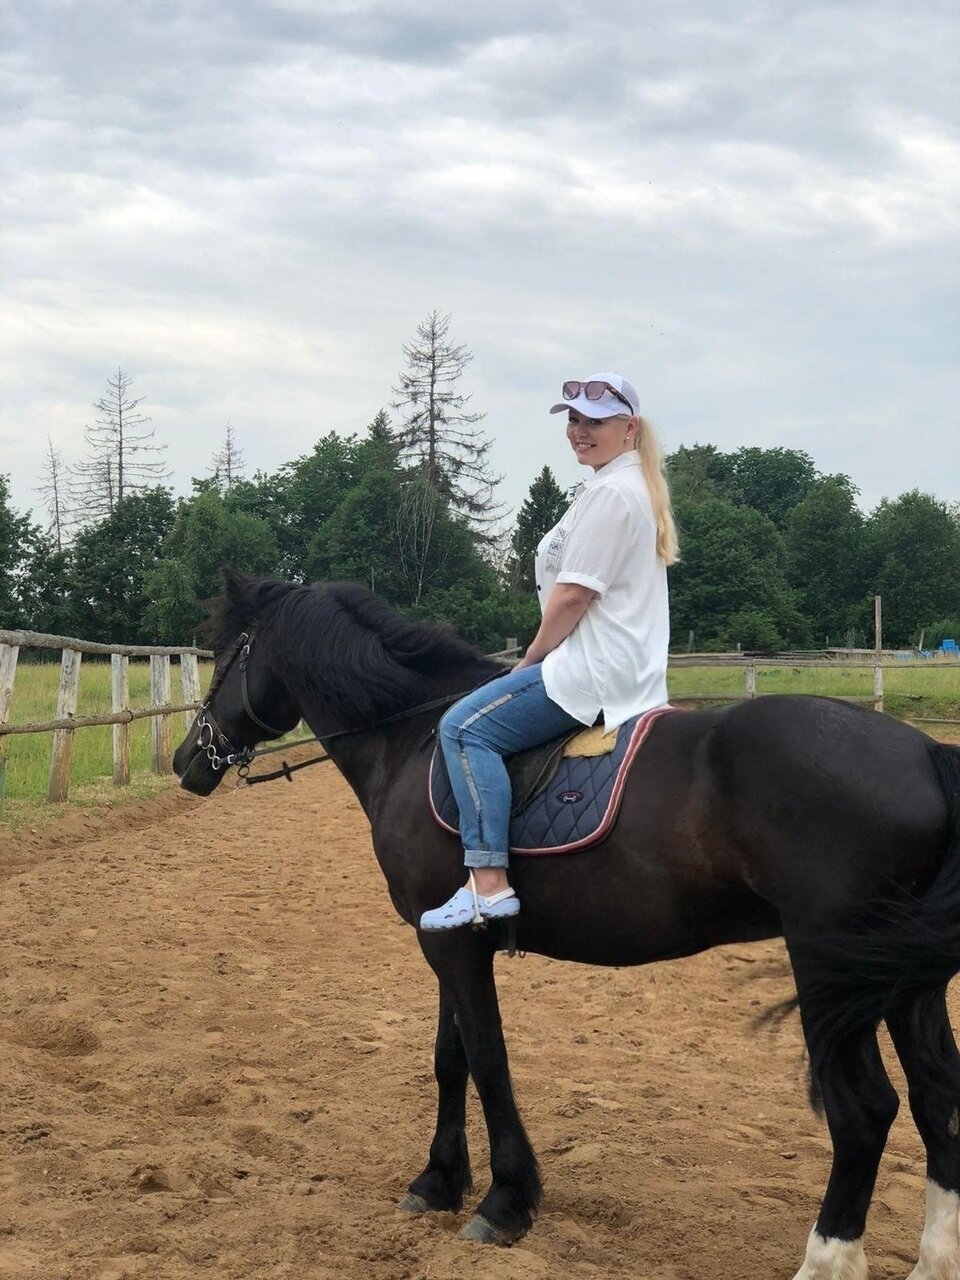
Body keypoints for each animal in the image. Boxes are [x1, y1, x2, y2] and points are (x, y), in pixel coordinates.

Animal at [173, 569, 960, 1280]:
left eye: (225, 655)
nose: (187, 760)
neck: (413, 739)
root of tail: (925, 753)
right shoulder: (447, 937)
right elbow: (450, 1058)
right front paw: (437, 1182)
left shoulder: (448, 944)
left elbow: (488, 1059)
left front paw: (505, 1202)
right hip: (900, 984)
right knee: (936, 1098)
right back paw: (933, 1262)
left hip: (830, 970)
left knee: (864, 1112)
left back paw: (825, 1261)